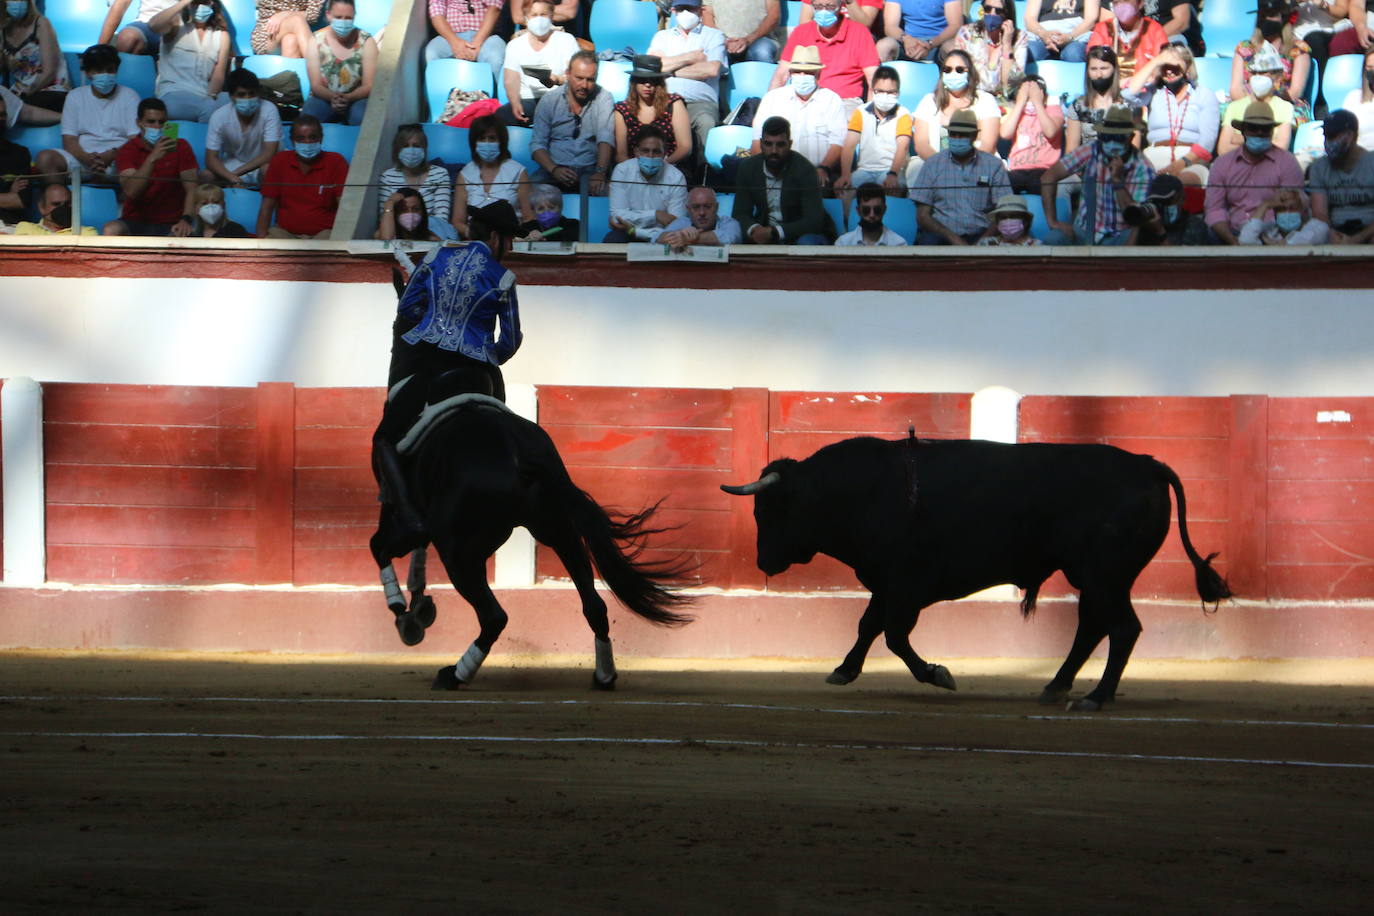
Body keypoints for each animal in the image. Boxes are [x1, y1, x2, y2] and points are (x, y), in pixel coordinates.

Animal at [370, 395, 692, 686]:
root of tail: (515, 453)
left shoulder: (409, 528)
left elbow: (379, 547)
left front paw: (405, 614)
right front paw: (417, 608)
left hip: (457, 552)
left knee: (494, 616)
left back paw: (455, 674)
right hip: (560, 532)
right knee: (594, 605)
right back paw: (604, 675)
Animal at [725, 436, 1231, 708]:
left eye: (769, 510)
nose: (764, 562)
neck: (857, 491)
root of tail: (1149, 465)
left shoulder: (906, 583)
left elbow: (893, 635)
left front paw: (938, 674)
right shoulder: (886, 582)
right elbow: (869, 626)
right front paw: (844, 670)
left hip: (1105, 574)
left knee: (1122, 628)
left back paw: (1094, 697)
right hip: (1094, 577)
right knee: (1093, 627)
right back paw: (1056, 686)